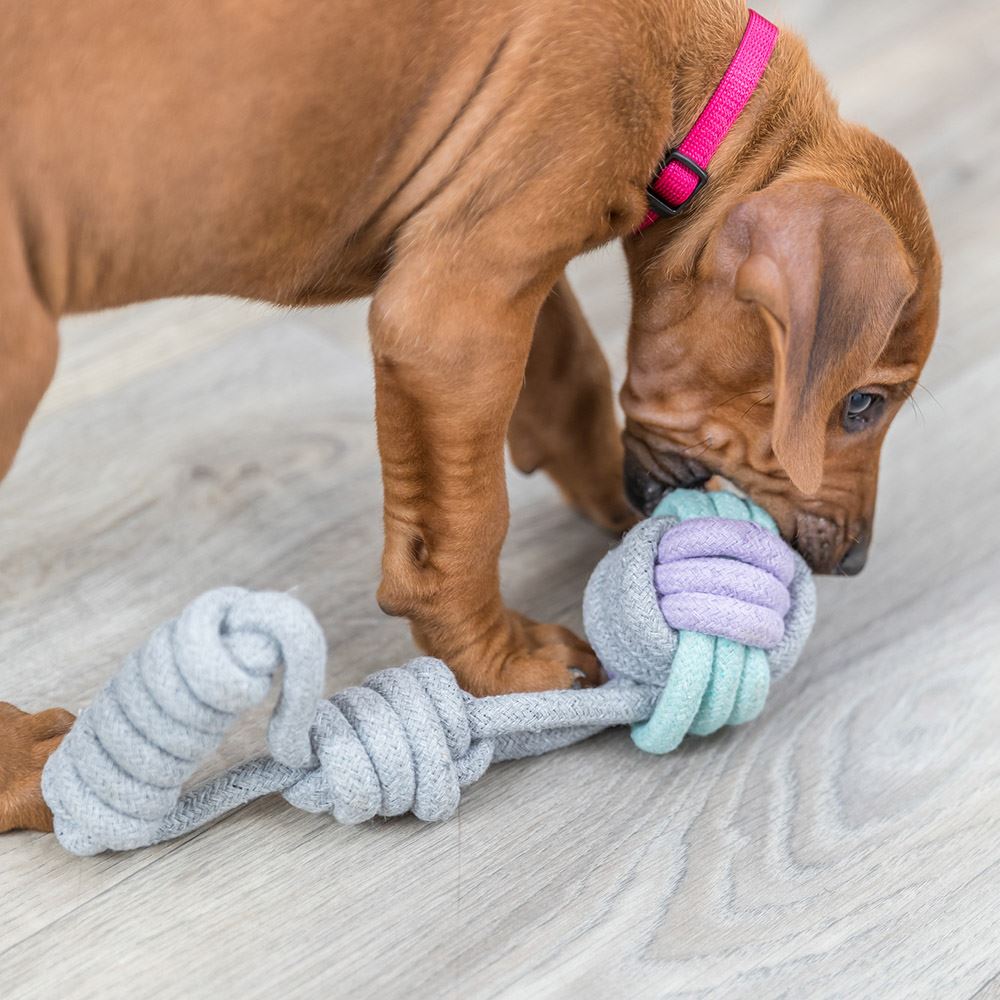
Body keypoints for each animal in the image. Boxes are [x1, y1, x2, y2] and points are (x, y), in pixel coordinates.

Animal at [0, 0, 936, 836]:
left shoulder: (491, 254)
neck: (699, 92)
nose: (855, 562)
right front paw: (503, 667)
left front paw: (611, 497)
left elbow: (573, 377)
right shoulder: (451, 322)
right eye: (862, 403)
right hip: (23, 354)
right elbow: (466, 526)